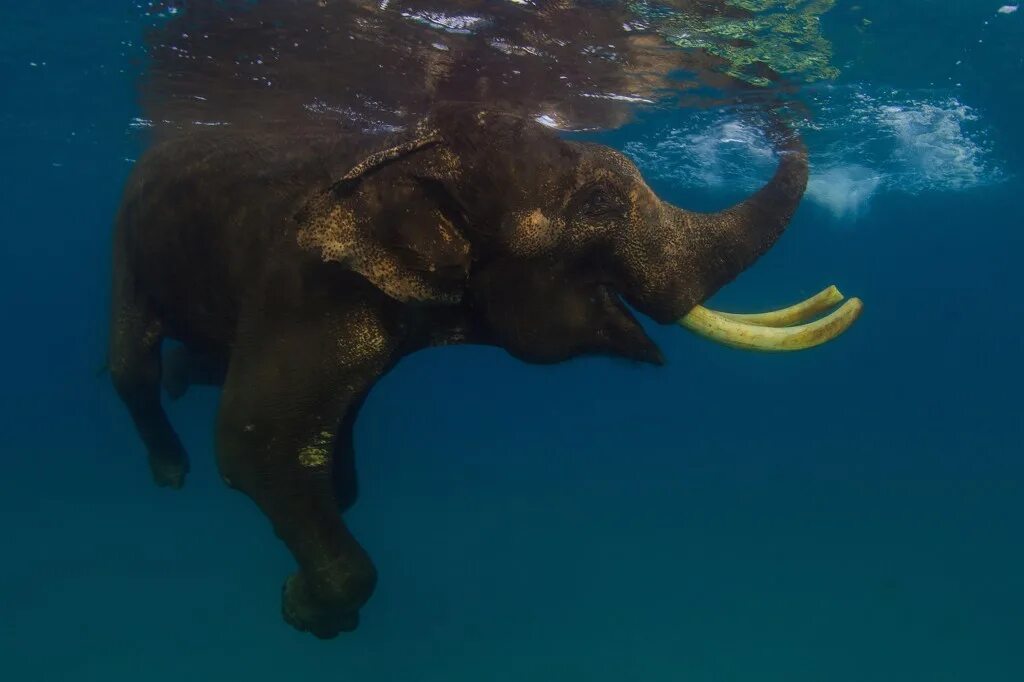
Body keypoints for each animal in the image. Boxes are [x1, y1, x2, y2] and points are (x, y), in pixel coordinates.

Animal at [108, 102, 860, 638]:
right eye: (598, 207)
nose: (770, 102)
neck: (405, 152)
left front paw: (310, 567)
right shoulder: (304, 286)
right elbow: (253, 442)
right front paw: (305, 611)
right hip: (127, 249)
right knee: (131, 363)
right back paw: (171, 469)